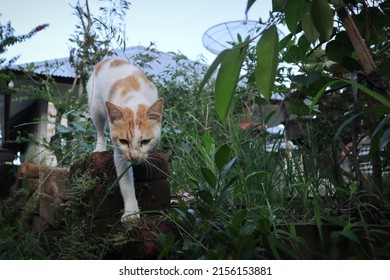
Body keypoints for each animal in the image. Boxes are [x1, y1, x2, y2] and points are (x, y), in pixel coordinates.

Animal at [86, 58, 163, 221]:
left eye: (145, 141)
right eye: (124, 141)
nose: (134, 157)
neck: (133, 99)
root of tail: (108, 60)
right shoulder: (120, 154)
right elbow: (126, 184)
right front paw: (131, 212)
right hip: (95, 109)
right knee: (100, 131)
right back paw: (100, 147)